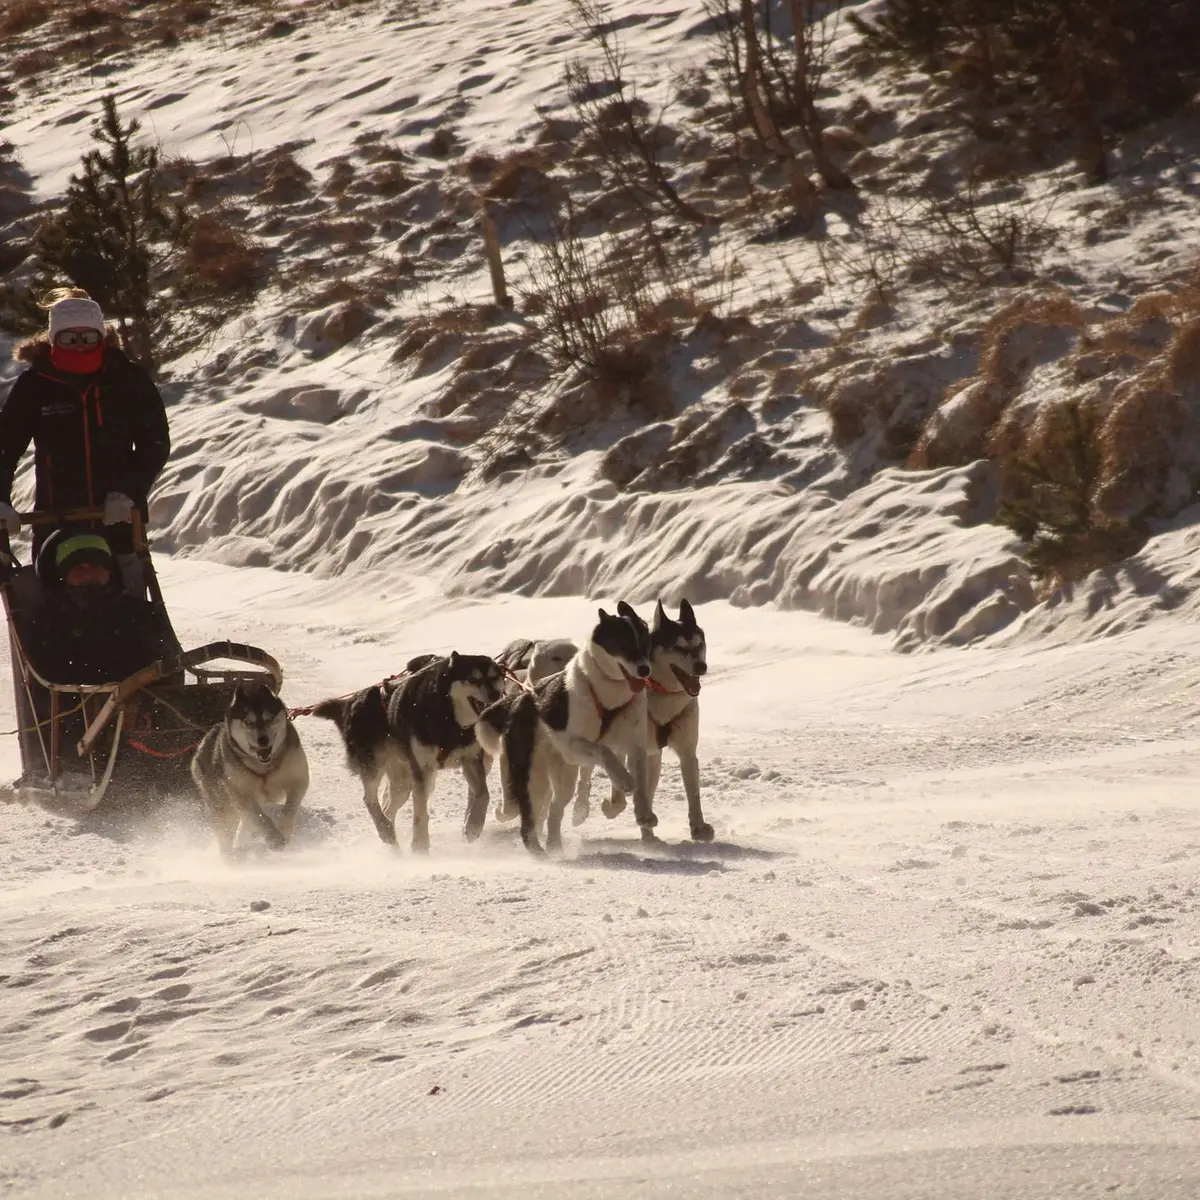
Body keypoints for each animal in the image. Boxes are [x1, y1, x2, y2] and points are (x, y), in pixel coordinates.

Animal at [190, 681, 309, 859]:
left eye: (269, 719)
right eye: (248, 722)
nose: (263, 740)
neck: (265, 768)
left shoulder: (298, 780)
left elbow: (289, 808)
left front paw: (284, 831)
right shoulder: (241, 794)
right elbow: (260, 818)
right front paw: (274, 838)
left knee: (245, 823)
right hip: (221, 806)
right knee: (229, 829)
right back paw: (230, 856)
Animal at [312, 657, 504, 854]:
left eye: (495, 676)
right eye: (472, 678)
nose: (495, 694)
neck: (448, 719)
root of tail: (351, 702)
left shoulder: (471, 761)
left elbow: (483, 794)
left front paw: (473, 826)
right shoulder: (423, 770)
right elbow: (420, 813)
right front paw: (420, 847)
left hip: (402, 784)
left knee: (388, 810)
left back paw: (392, 844)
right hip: (375, 764)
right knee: (369, 799)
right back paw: (386, 832)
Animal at [475, 604, 657, 859]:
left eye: (644, 641)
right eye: (623, 642)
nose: (644, 669)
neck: (608, 698)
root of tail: (522, 698)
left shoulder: (635, 746)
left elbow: (639, 782)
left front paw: (644, 815)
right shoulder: (573, 745)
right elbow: (605, 752)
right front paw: (624, 780)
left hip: (563, 778)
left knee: (554, 809)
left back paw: (554, 845)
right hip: (534, 776)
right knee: (529, 820)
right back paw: (538, 851)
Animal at [600, 600, 710, 844]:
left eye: (699, 645)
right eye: (678, 647)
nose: (702, 667)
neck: (664, 694)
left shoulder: (687, 752)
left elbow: (693, 793)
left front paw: (698, 827)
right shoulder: (630, 748)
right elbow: (621, 792)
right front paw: (612, 807)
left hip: (653, 759)